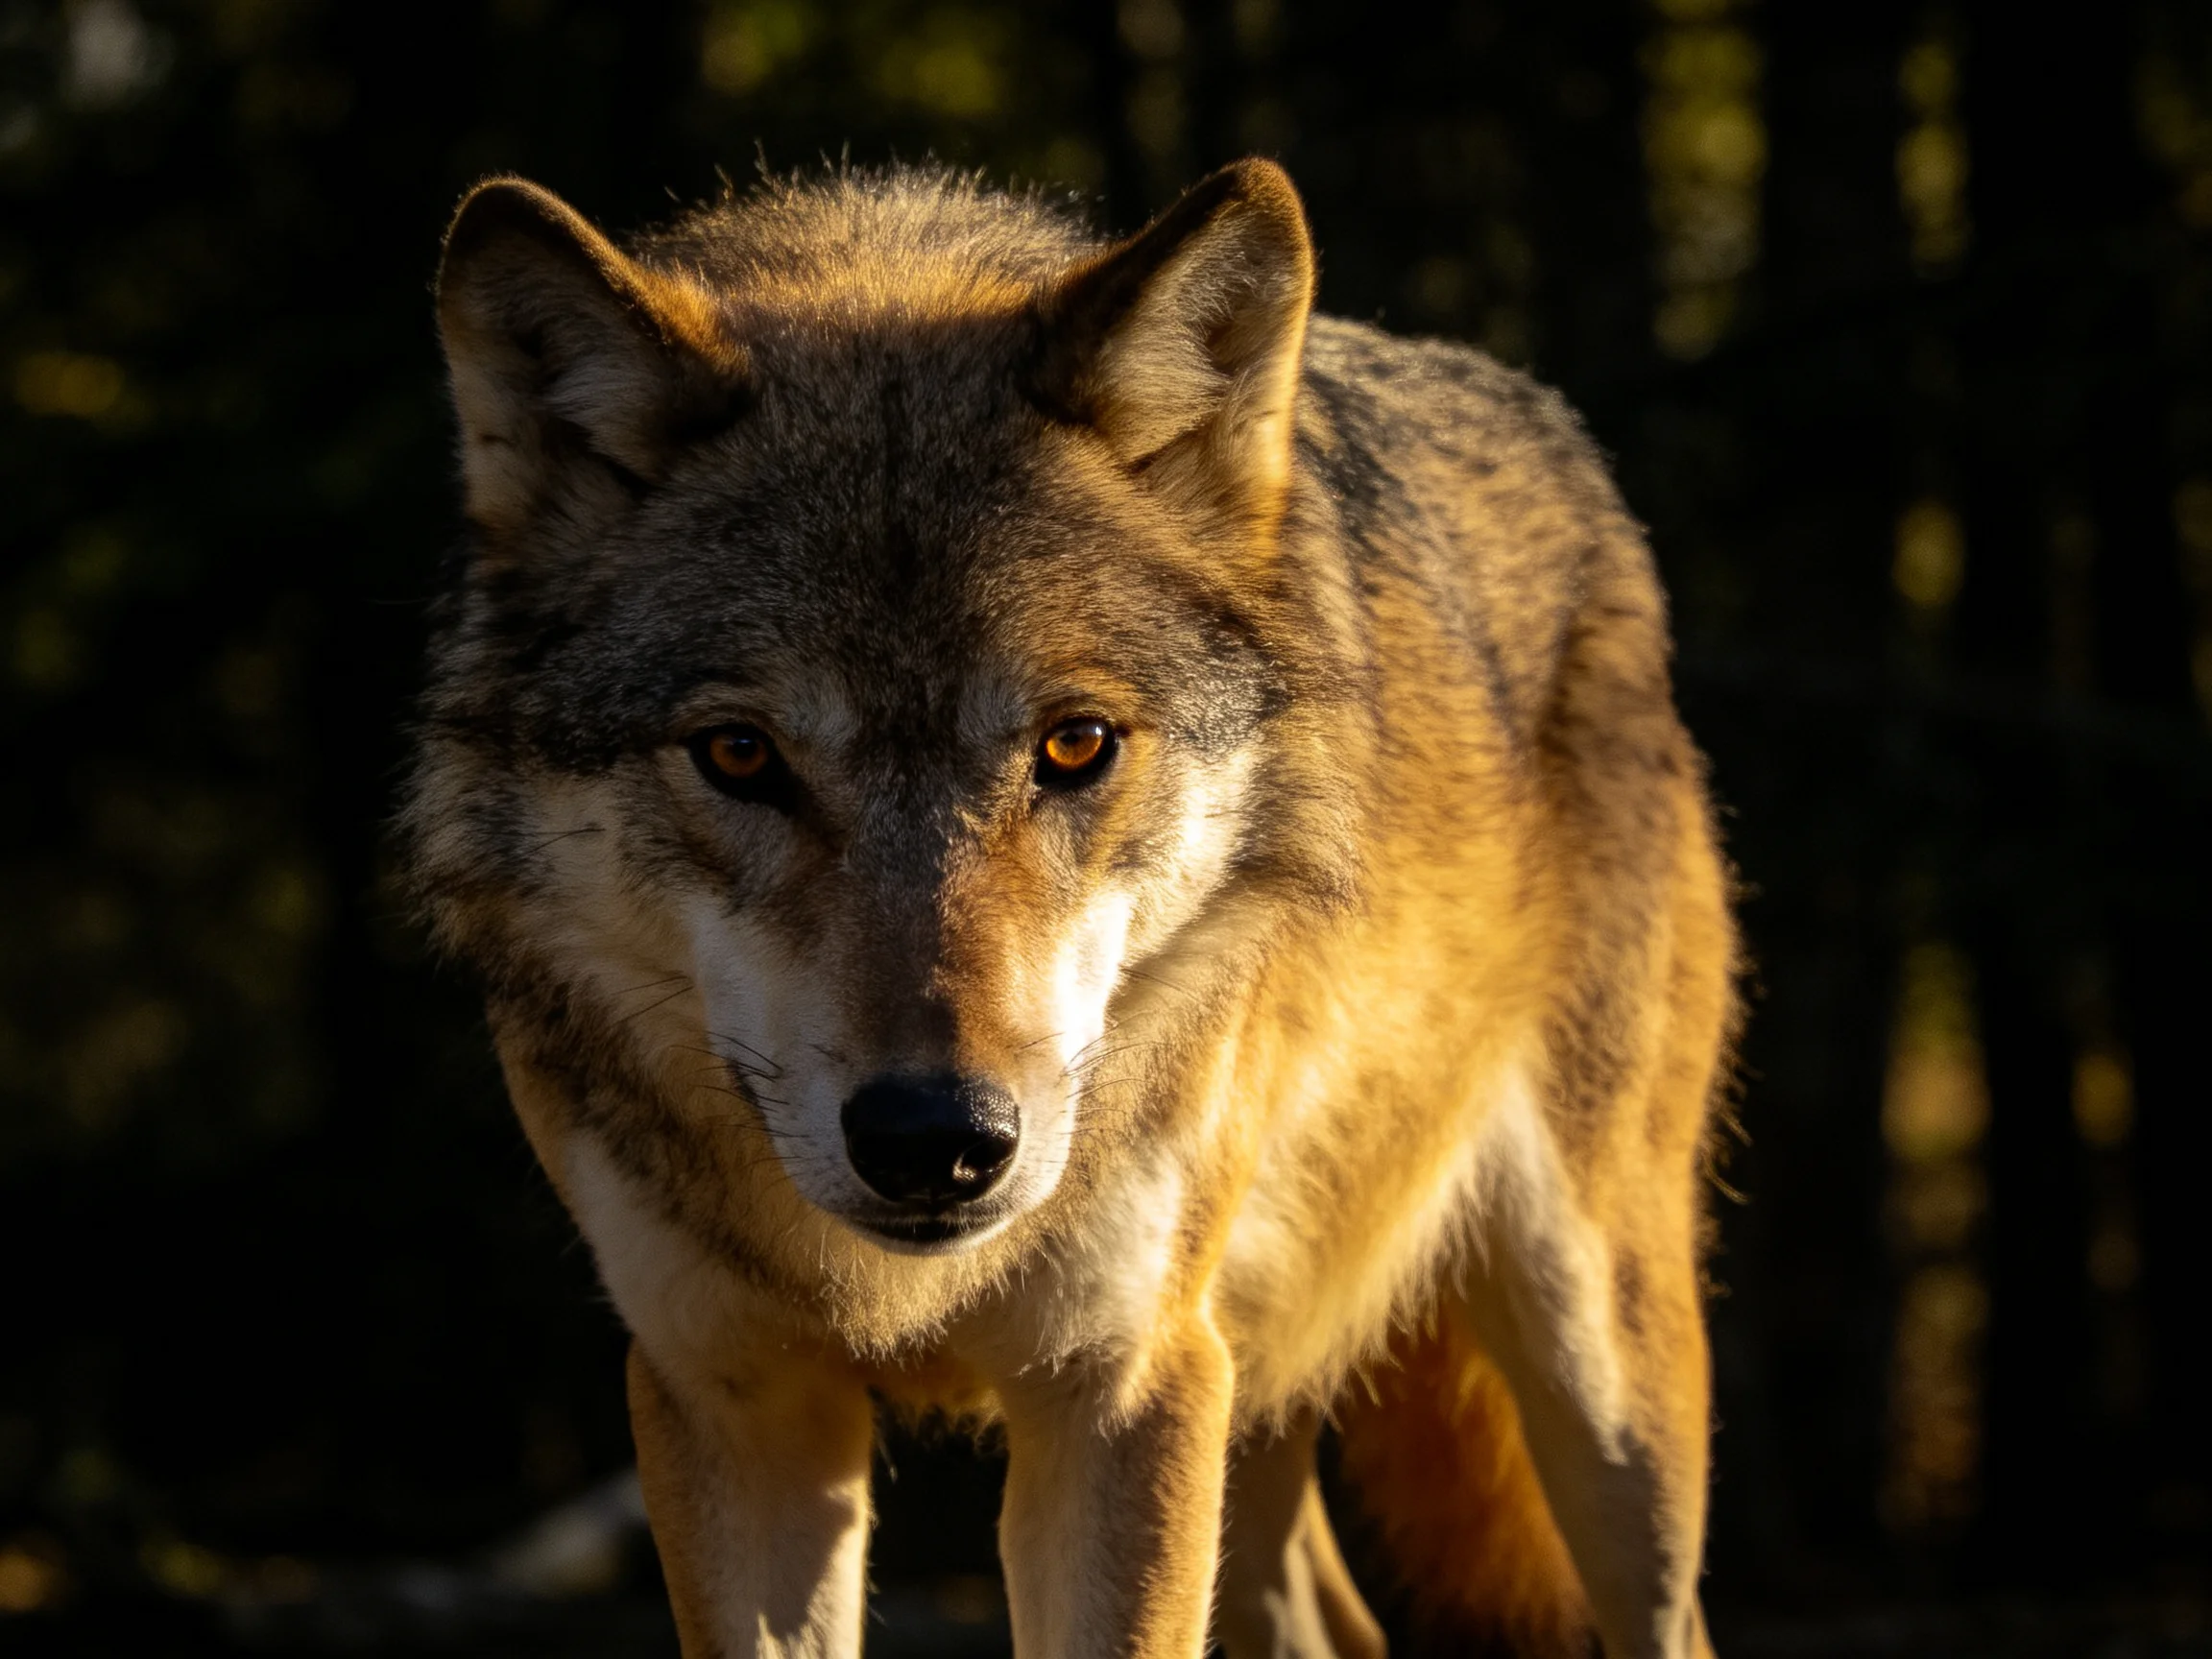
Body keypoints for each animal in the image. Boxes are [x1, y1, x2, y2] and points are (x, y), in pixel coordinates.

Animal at [403, 157, 1737, 1659]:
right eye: (740, 754)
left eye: (1076, 743)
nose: (933, 1144)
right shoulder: (730, 1393)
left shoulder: (1119, 1388)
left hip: (1596, 1373)